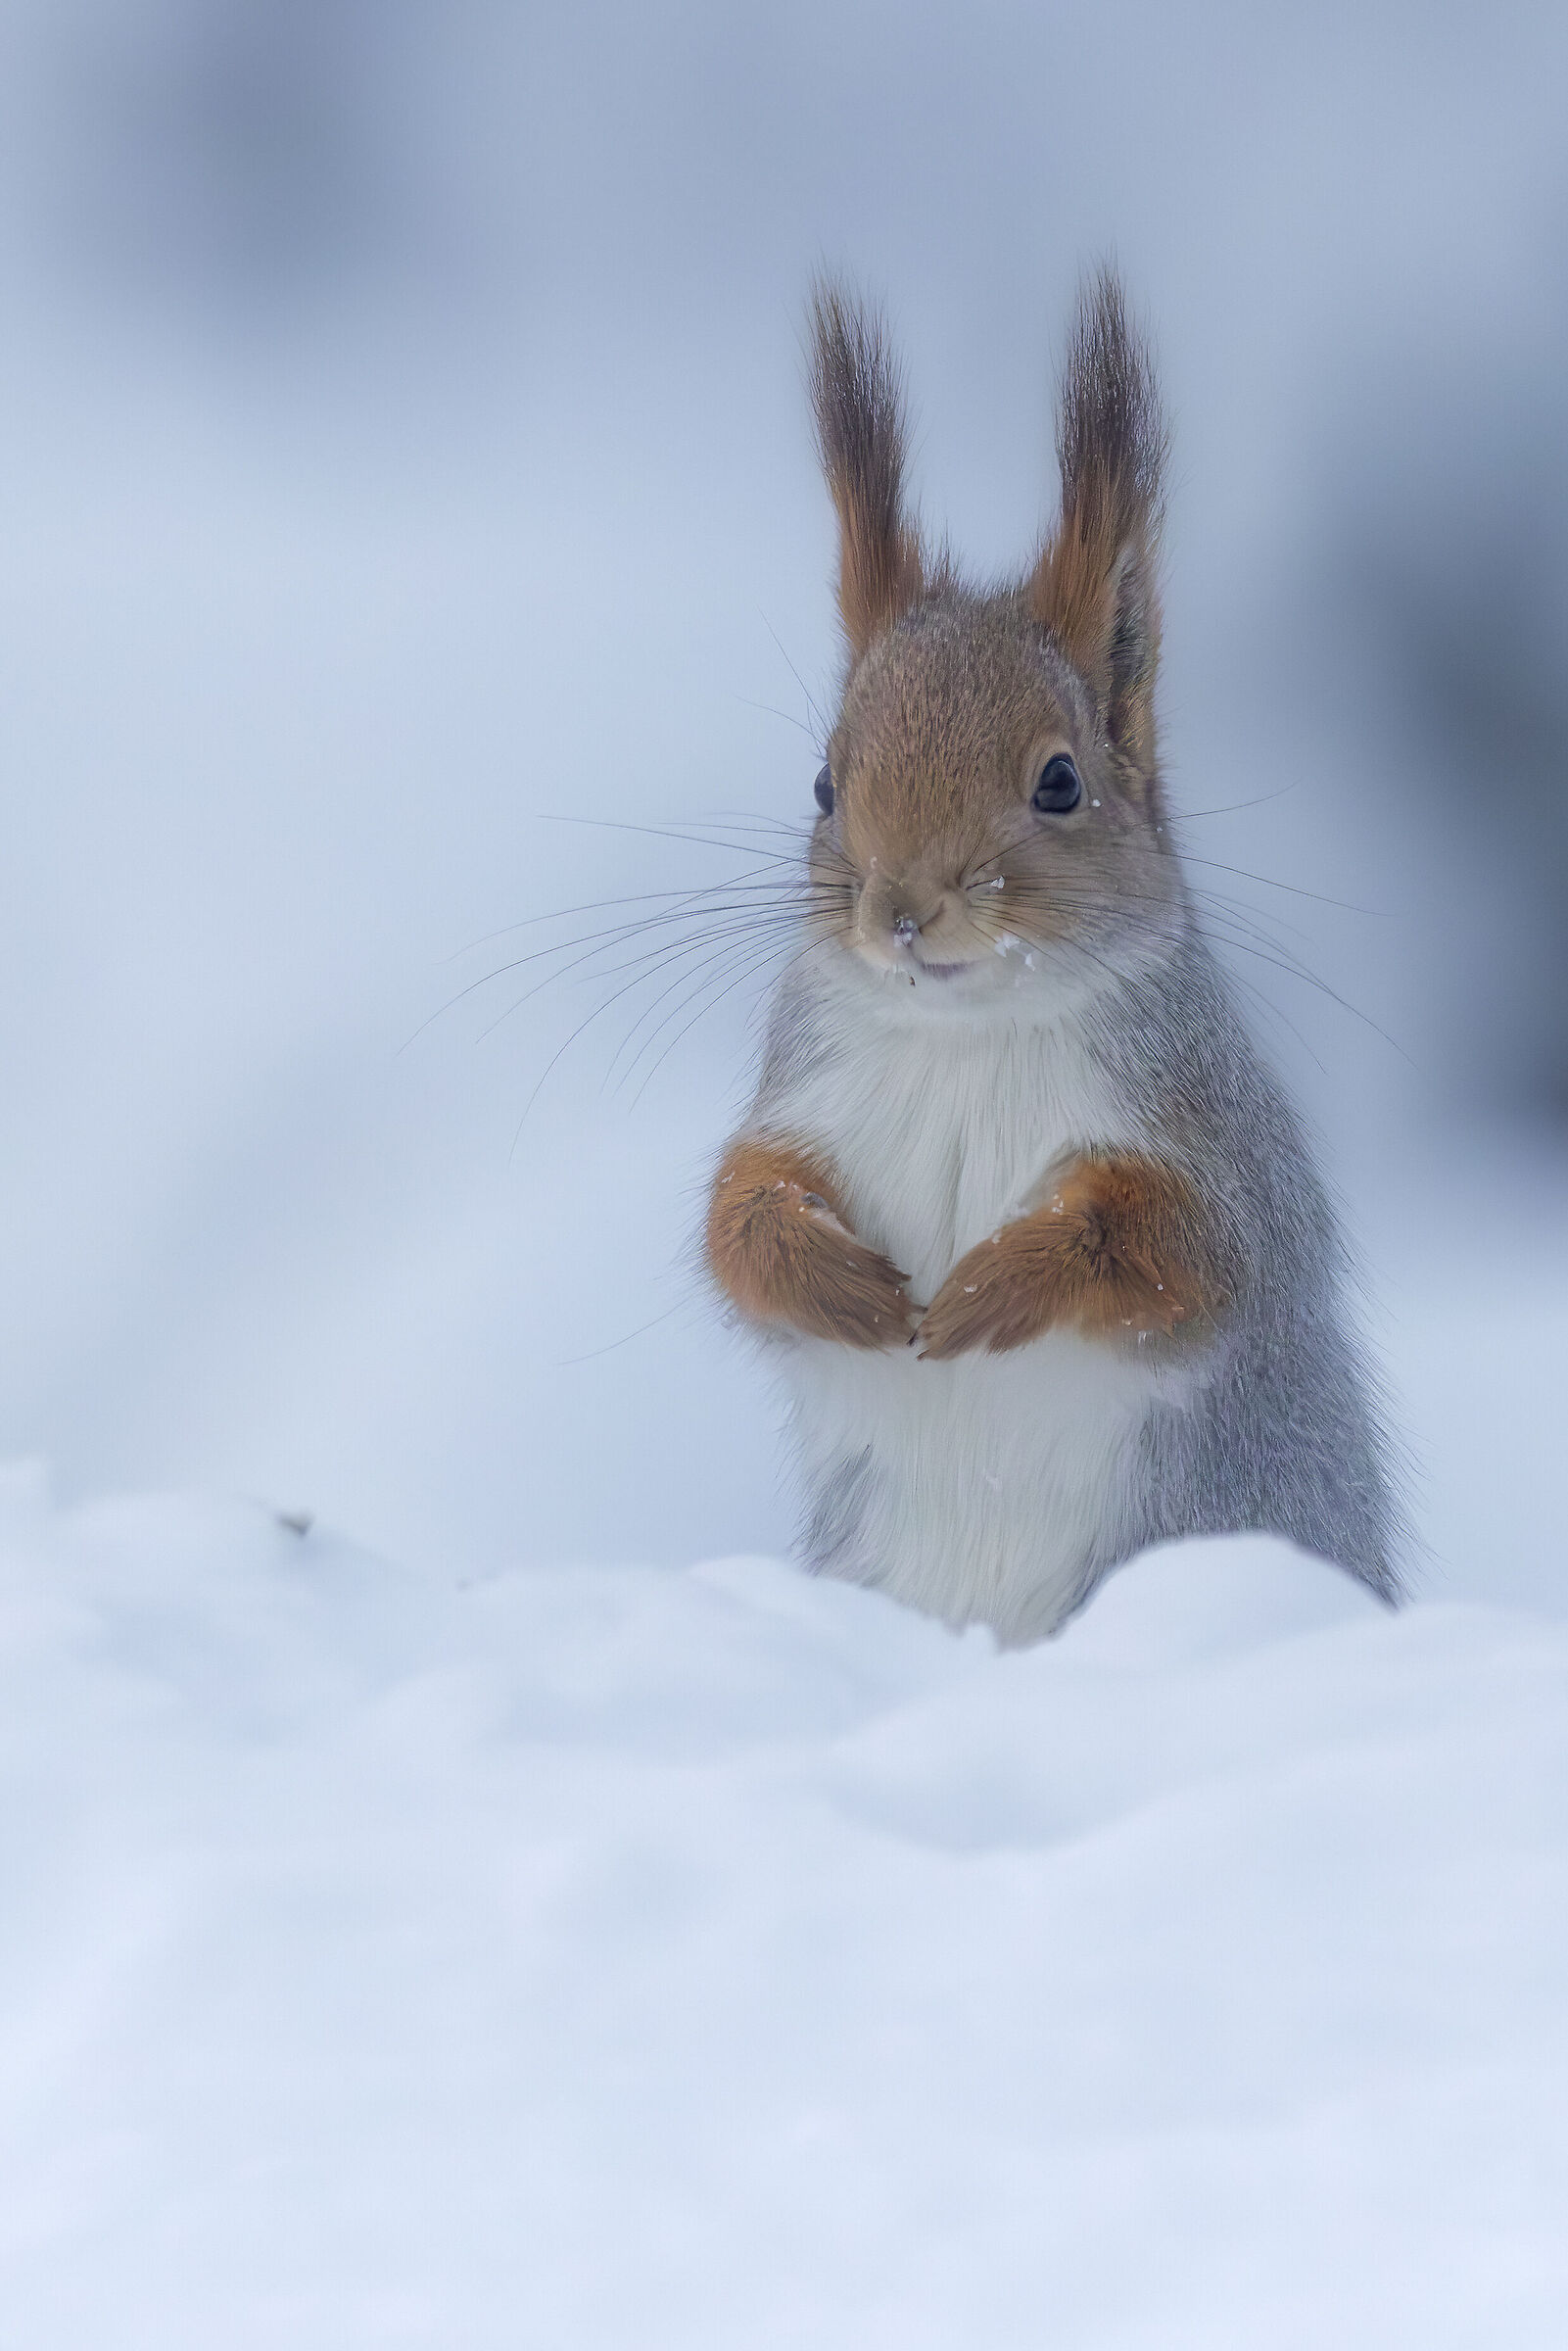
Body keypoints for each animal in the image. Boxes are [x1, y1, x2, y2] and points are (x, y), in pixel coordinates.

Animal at [705, 267, 1405, 1643]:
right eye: (823, 784)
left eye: (1061, 783)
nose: (903, 909)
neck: (961, 1035)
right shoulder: (799, 1093)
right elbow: (739, 1221)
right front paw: (845, 1288)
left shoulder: (1210, 1137)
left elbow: (1181, 1247)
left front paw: (991, 1292)